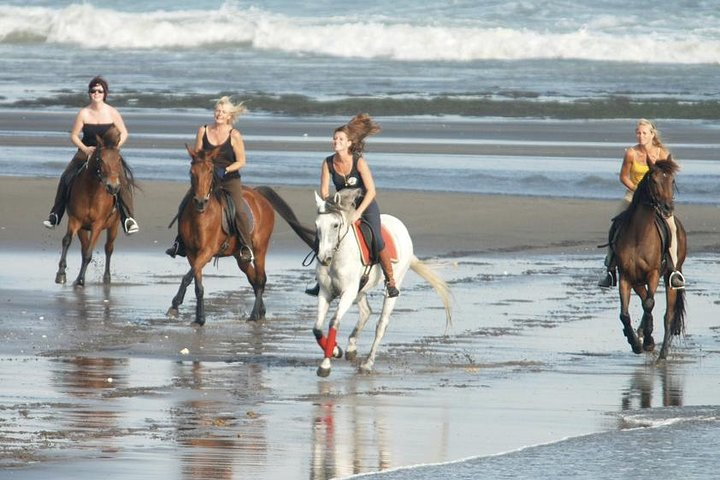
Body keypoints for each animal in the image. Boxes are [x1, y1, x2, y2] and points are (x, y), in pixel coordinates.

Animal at [53, 126, 130, 287]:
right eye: (100, 159)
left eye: (118, 159)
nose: (113, 187)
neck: (91, 192)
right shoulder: (76, 220)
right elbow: (67, 241)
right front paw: (61, 274)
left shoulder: (98, 225)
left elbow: (89, 253)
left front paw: (80, 280)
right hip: (83, 228)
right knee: (84, 247)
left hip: (113, 226)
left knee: (108, 249)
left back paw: (107, 278)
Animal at [166, 145, 315, 326]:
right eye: (191, 172)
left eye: (210, 171)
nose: (200, 202)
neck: (201, 216)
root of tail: (258, 194)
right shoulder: (191, 252)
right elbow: (197, 284)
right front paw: (199, 318)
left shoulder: (207, 251)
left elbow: (188, 277)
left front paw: (175, 305)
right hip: (240, 255)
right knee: (253, 278)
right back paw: (261, 312)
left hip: (260, 248)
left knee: (260, 279)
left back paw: (254, 315)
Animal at [311, 189, 452, 377]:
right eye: (317, 225)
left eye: (335, 225)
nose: (323, 258)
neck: (337, 257)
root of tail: (401, 227)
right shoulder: (325, 292)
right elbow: (317, 328)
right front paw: (335, 350)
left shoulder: (348, 292)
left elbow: (334, 322)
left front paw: (325, 365)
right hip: (361, 289)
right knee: (366, 312)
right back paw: (350, 348)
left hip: (392, 285)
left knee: (381, 324)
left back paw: (367, 364)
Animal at [612, 158, 686, 361]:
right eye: (654, 180)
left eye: (672, 181)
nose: (668, 208)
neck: (639, 233)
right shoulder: (626, 276)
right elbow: (624, 314)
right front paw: (635, 343)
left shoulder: (653, 273)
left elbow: (650, 304)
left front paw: (648, 342)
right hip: (637, 281)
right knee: (645, 298)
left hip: (670, 277)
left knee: (668, 315)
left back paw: (662, 352)